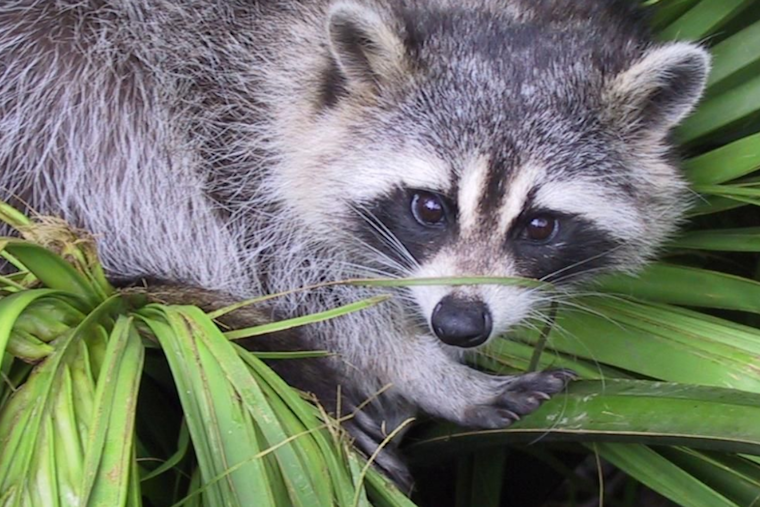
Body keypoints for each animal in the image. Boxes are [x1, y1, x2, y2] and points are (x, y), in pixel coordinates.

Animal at [0, 0, 709, 488]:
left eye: (539, 226)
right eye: (430, 208)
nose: (458, 324)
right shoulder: (219, 98)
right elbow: (293, 268)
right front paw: (424, 369)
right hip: (49, 73)